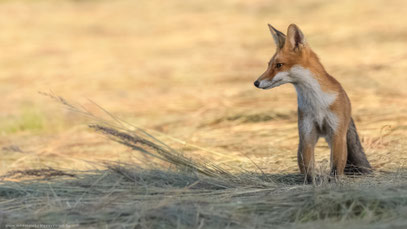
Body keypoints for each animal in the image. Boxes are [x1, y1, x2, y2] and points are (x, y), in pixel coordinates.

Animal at [255, 23, 372, 181]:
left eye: (279, 65)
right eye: (268, 65)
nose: (256, 83)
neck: (317, 102)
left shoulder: (337, 133)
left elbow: (335, 168)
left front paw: (334, 182)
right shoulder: (306, 135)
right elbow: (308, 170)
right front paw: (312, 184)